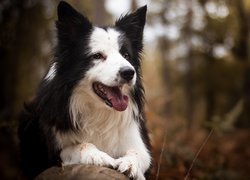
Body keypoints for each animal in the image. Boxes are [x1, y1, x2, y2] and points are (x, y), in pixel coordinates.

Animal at [18, 1, 151, 179]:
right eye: (97, 56)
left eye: (126, 55)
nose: (129, 73)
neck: (99, 113)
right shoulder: (53, 151)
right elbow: (80, 145)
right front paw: (99, 156)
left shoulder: (136, 141)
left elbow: (137, 153)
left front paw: (130, 163)